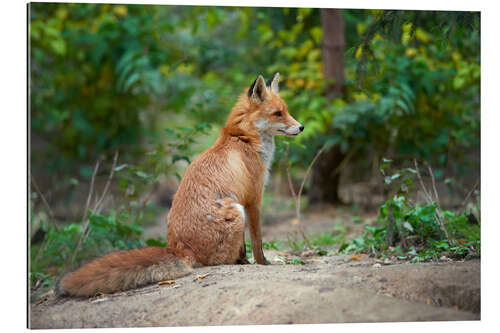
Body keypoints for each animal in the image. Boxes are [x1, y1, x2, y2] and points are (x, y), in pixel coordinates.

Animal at [58, 73, 300, 296]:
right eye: (278, 113)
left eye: (287, 111)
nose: (302, 127)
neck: (244, 139)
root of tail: (182, 249)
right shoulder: (253, 199)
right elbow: (257, 241)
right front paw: (262, 263)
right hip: (236, 210)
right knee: (223, 259)